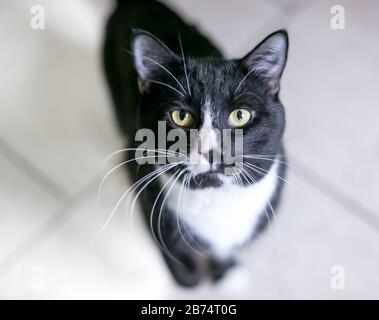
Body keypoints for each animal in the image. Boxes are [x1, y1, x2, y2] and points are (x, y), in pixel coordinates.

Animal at [104, 0, 288, 286]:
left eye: (240, 115)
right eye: (181, 116)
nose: (210, 151)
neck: (215, 199)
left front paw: (227, 275)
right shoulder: (146, 192)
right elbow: (173, 247)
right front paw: (188, 278)